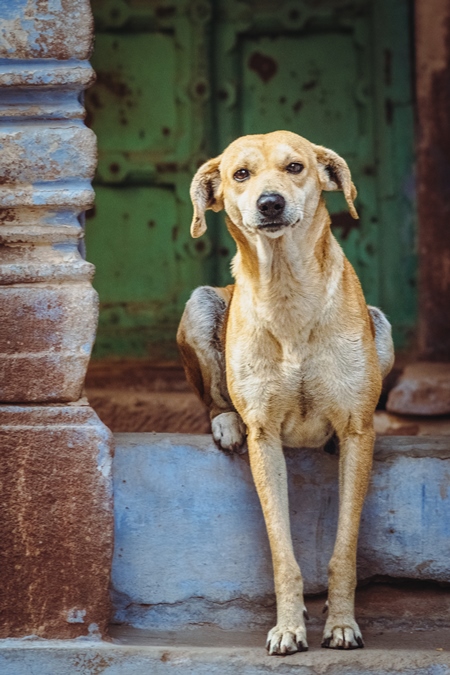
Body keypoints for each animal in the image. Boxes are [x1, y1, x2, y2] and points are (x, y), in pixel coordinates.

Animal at [177, 131, 394, 656]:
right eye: (240, 175)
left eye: (295, 167)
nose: (270, 203)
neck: (288, 288)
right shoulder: (266, 437)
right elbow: (282, 552)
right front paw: (290, 627)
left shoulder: (358, 432)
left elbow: (344, 549)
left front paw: (341, 623)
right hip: (200, 304)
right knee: (215, 397)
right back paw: (224, 421)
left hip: (382, 326)